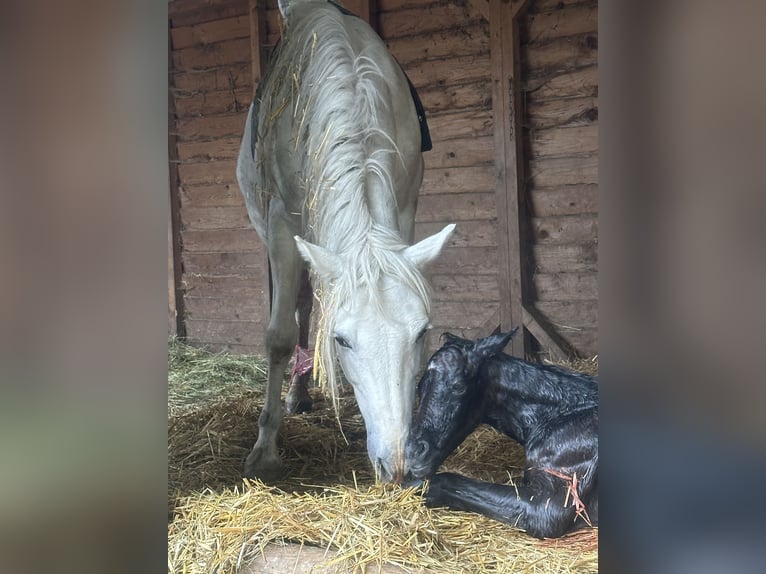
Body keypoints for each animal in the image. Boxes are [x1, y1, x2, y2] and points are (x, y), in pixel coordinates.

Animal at [237, 0, 456, 486]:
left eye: (422, 332)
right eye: (342, 341)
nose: (397, 466)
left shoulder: (404, 213)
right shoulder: (282, 227)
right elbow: (279, 337)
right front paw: (265, 450)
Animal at [408, 330, 600, 544]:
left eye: (459, 387)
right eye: (419, 387)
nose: (414, 453)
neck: (563, 413)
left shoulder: (548, 507)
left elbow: (445, 480)